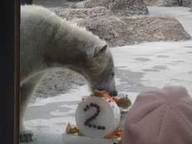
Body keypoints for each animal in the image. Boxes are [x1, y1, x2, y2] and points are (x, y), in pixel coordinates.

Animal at [20, 5, 118, 142]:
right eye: (112, 73)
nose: (114, 92)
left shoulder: (36, 67)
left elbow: (25, 93)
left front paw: (25, 133)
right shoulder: (28, 50)